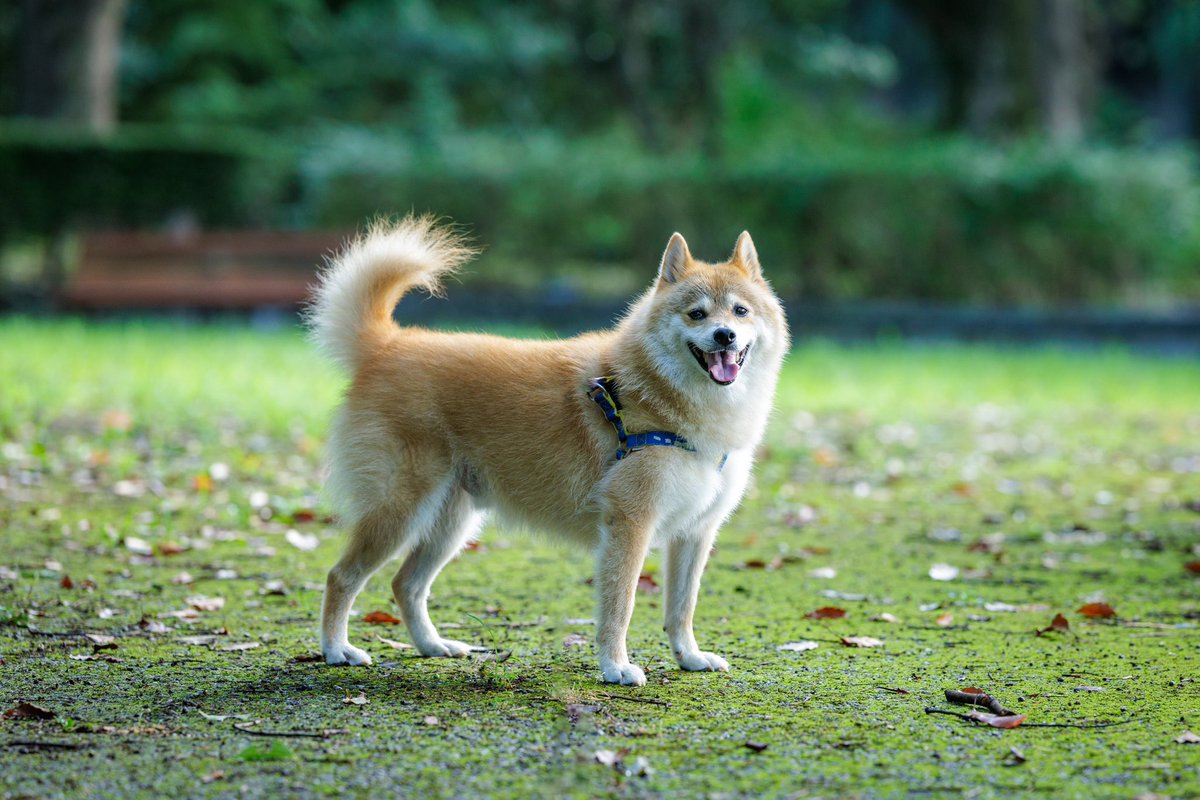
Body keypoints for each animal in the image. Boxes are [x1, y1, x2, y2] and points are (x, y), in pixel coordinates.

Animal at [309, 215, 787, 686]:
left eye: (740, 310)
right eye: (696, 313)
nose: (724, 335)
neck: (661, 401)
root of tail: (388, 345)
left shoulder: (695, 532)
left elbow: (683, 606)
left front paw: (689, 657)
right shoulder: (629, 525)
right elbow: (621, 605)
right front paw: (615, 666)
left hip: (450, 522)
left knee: (405, 584)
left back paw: (431, 645)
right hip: (403, 510)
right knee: (341, 576)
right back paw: (336, 649)